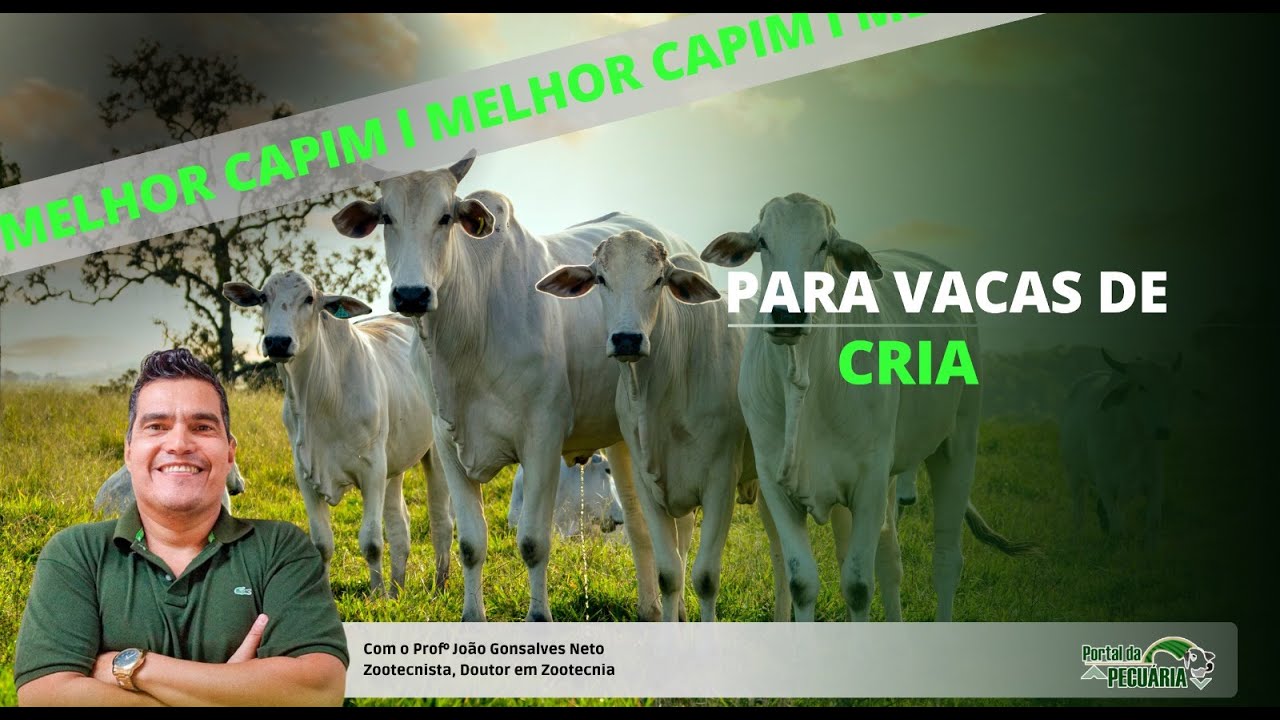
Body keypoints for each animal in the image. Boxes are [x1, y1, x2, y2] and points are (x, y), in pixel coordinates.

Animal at [222, 270, 453, 599]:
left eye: (309, 299)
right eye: (263, 297)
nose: (277, 341)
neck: (319, 396)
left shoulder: (372, 469)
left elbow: (371, 541)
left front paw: (377, 597)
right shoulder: (305, 472)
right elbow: (322, 543)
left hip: (433, 454)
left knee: (441, 522)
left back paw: (438, 585)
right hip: (394, 465)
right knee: (400, 526)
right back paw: (397, 588)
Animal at [332, 149, 703, 622]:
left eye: (446, 216)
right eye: (386, 217)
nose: (412, 295)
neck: (469, 330)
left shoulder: (542, 439)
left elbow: (532, 543)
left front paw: (538, 617)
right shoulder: (446, 441)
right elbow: (471, 543)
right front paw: (473, 616)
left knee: (680, 530)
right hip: (622, 439)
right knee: (639, 526)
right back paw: (649, 609)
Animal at [701, 192, 1037, 622]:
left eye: (823, 244)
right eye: (762, 242)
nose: (788, 315)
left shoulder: (870, 481)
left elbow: (858, 587)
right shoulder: (776, 484)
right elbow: (803, 582)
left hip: (957, 444)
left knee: (946, 560)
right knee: (891, 559)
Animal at [1059, 348, 1179, 543]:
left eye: (1169, 389)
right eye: (1141, 387)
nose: (1163, 431)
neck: (1131, 445)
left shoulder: (1155, 484)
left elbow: (1152, 524)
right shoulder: (1105, 485)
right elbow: (1117, 527)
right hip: (1074, 474)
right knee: (1079, 512)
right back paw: (1077, 536)